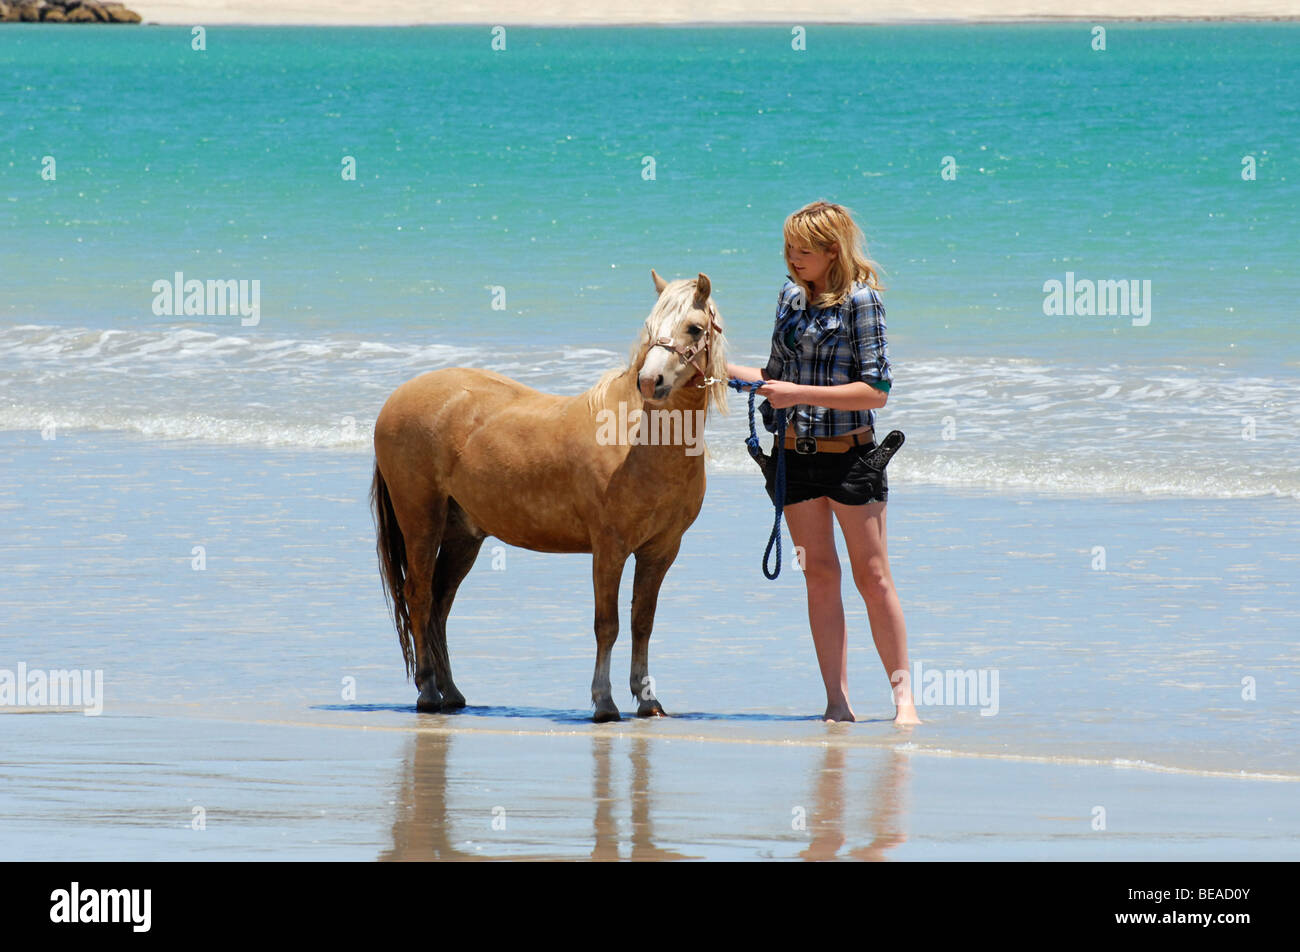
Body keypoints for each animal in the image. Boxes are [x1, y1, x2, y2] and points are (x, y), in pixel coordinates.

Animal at [371, 273, 733, 723]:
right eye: (650, 328)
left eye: (695, 329)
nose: (651, 382)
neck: (639, 440)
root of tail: (397, 398)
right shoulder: (609, 548)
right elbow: (607, 624)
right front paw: (604, 702)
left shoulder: (660, 550)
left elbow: (642, 622)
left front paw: (647, 700)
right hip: (421, 521)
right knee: (418, 597)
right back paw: (427, 693)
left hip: (462, 536)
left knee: (439, 604)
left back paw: (451, 692)